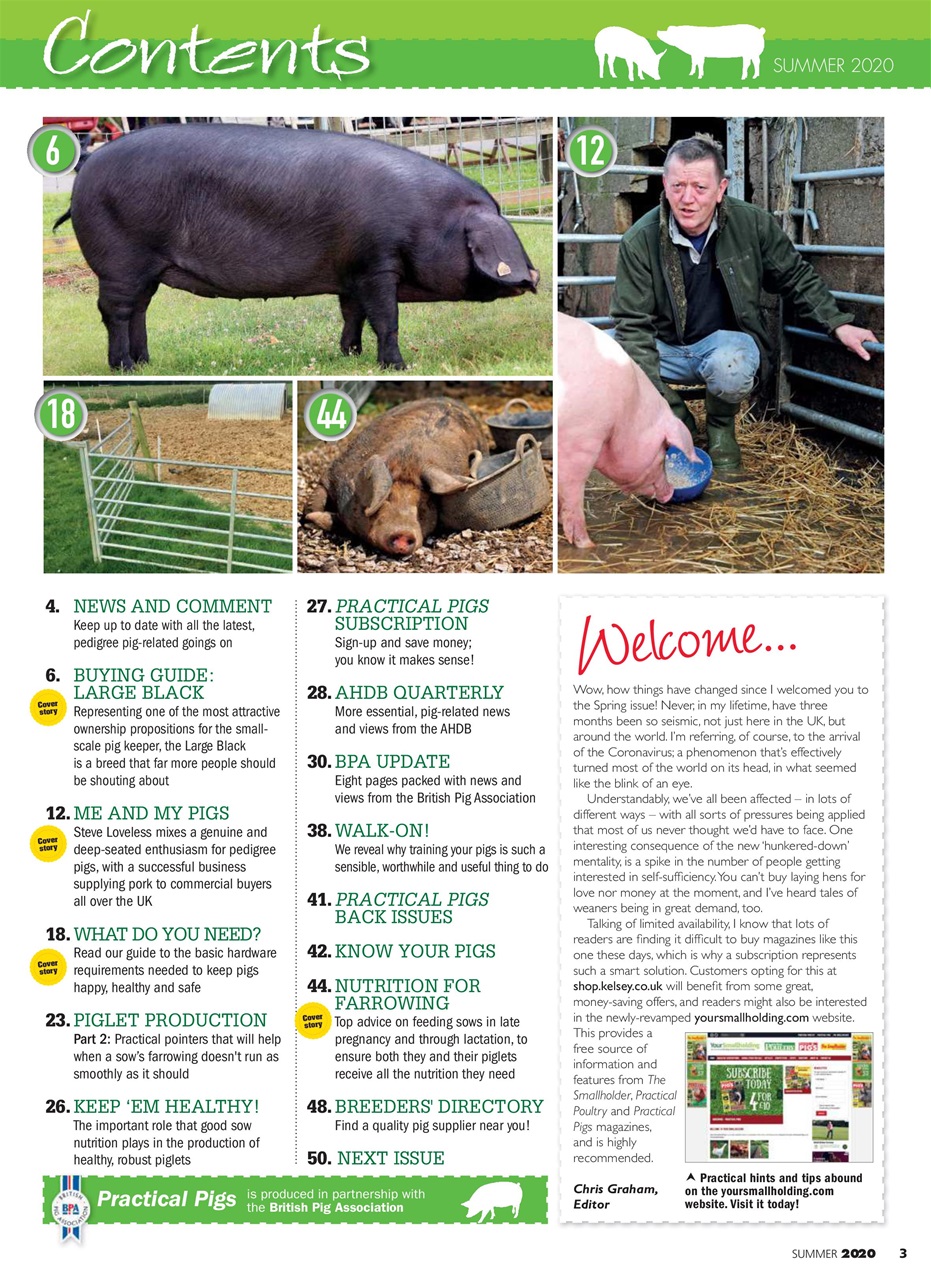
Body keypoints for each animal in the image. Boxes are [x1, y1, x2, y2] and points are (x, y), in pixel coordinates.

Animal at [58, 124, 540, 371]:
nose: (529, 279)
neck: (431, 220)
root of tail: (87, 168)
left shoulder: (352, 272)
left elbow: (353, 314)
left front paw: (349, 355)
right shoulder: (377, 265)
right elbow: (386, 319)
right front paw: (397, 368)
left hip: (146, 270)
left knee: (140, 309)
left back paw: (145, 363)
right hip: (121, 261)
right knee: (116, 311)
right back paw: (123, 366)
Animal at [301, 399, 488, 556]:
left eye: (424, 505)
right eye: (387, 499)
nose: (404, 533)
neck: (407, 460)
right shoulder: (332, 474)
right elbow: (316, 502)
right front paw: (311, 520)